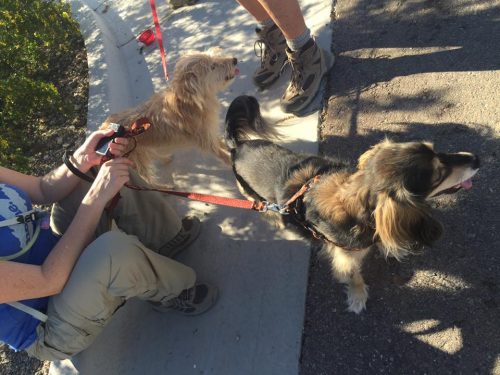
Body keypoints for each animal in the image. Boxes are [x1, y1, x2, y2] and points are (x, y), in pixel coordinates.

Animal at [100, 49, 239, 184]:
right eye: (213, 66)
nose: (235, 60)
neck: (190, 103)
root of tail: (103, 128)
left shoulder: (210, 133)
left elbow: (221, 143)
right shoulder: (206, 142)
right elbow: (223, 155)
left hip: (143, 149)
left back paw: (166, 158)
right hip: (135, 161)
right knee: (148, 181)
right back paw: (164, 187)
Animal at [225, 94, 478, 314]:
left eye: (437, 150)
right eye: (438, 175)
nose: (477, 159)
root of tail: (237, 145)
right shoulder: (344, 258)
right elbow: (354, 275)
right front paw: (358, 296)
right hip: (253, 196)